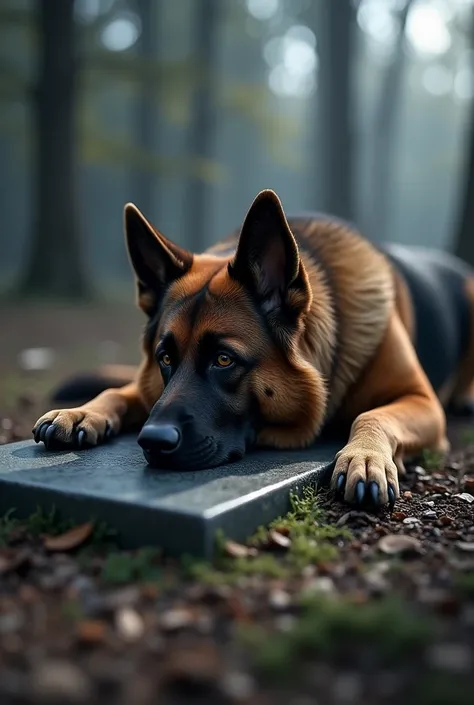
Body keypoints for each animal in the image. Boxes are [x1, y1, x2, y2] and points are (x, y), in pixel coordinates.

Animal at [32, 188, 474, 506]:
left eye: (224, 360)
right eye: (165, 358)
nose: (152, 441)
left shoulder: (422, 401)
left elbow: (371, 415)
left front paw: (366, 456)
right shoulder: (149, 387)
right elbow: (118, 390)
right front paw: (82, 412)